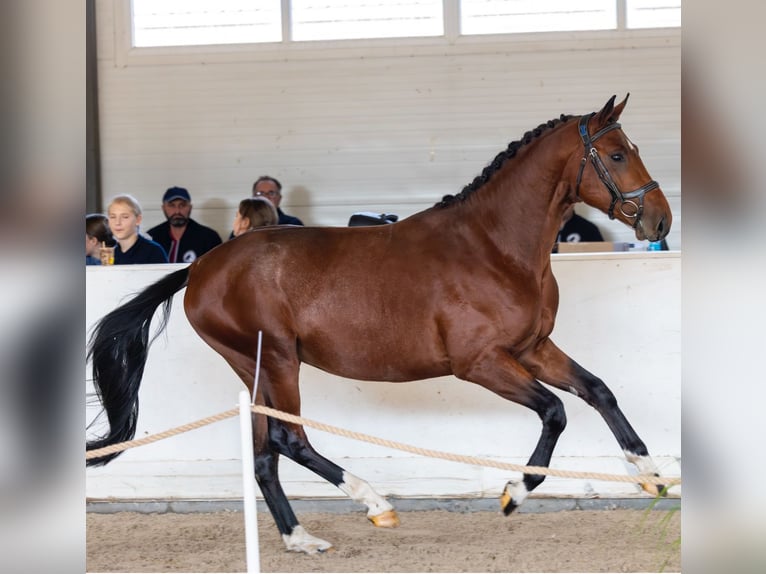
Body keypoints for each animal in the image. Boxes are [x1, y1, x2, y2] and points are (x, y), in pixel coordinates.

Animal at [86, 95, 671, 554]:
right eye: (617, 154)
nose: (659, 219)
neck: (493, 246)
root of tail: (201, 267)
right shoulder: (480, 363)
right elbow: (555, 412)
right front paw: (513, 493)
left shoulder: (533, 348)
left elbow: (598, 391)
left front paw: (648, 474)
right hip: (277, 359)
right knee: (290, 438)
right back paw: (373, 503)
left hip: (252, 368)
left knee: (265, 454)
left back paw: (300, 538)